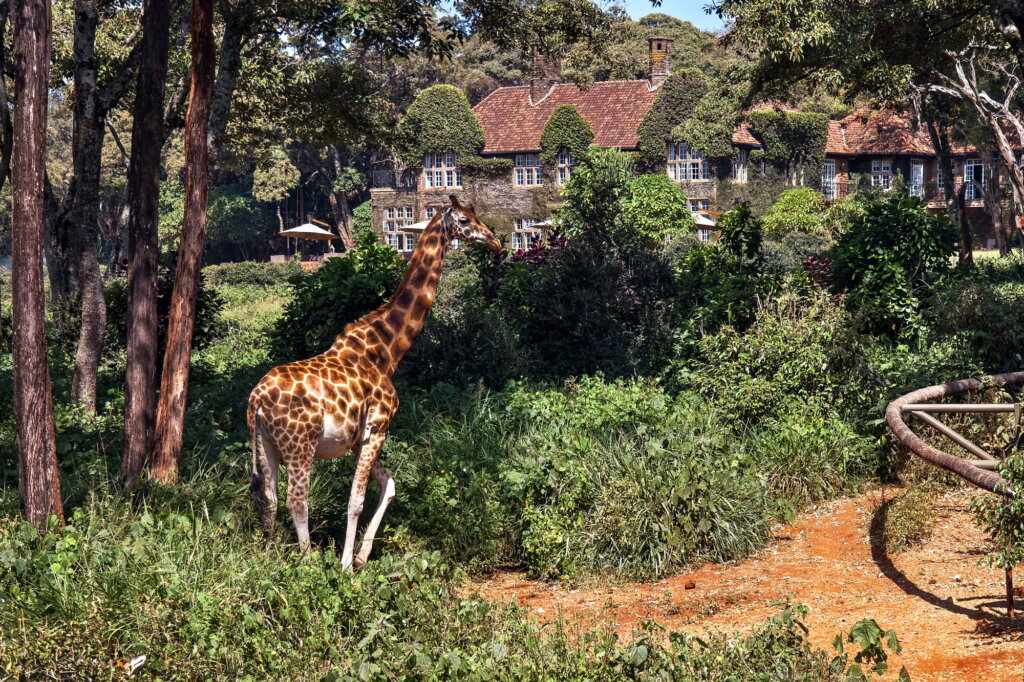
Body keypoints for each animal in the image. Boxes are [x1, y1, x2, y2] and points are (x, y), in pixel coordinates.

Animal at [247, 195, 501, 569]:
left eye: (477, 215)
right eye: (465, 220)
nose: (495, 241)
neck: (386, 350)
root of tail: (257, 400)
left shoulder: (358, 439)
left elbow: (390, 486)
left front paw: (362, 556)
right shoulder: (377, 428)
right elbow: (355, 501)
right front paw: (345, 564)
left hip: (266, 446)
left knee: (269, 497)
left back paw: (270, 558)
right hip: (300, 445)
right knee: (297, 500)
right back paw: (308, 565)